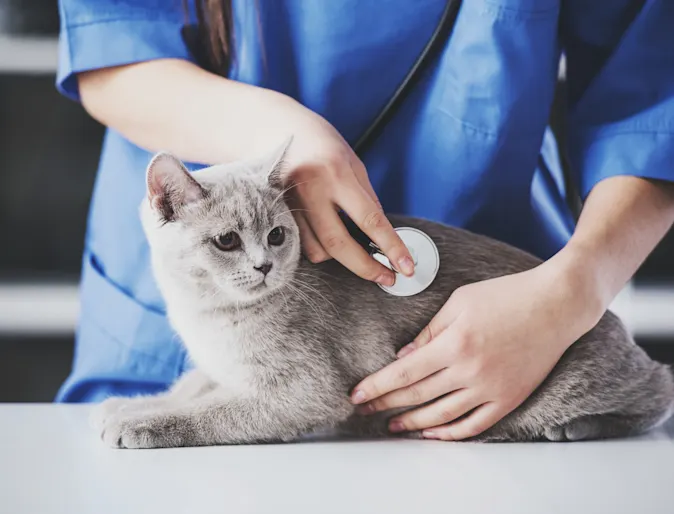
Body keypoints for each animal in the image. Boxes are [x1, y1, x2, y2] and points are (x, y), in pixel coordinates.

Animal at [92, 142, 672, 446]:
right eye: (227, 241)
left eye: (276, 235)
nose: (264, 265)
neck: (208, 316)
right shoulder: (218, 368)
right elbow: (191, 387)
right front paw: (125, 404)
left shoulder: (304, 391)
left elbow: (213, 413)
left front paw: (141, 424)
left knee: (659, 389)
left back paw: (569, 428)